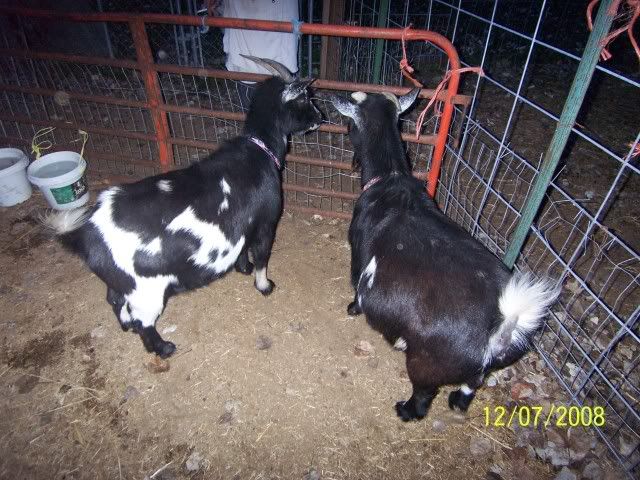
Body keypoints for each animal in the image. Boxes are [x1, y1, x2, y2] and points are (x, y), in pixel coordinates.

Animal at [43, 56, 322, 358]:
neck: (260, 149)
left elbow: (241, 248)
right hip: (146, 291)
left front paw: (242, 268)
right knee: (143, 322)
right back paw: (164, 348)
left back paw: (126, 327)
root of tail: (87, 234)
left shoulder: (242, 224)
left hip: (120, 282)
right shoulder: (266, 222)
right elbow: (261, 256)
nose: (320, 117)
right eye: (305, 97)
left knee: (114, 300)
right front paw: (264, 286)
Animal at [328, 89, 560, 421]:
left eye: (349, 124)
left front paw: (352, 308)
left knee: (424, 397)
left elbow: (356, 284)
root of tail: (500, 331)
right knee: (471, 386)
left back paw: (405, 410)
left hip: (426, 363)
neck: (390, 178)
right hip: (476, 372)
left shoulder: (359, 255)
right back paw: (457, 402)